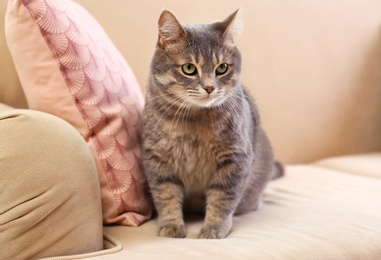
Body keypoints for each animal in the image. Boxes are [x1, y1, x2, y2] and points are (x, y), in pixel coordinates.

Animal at [141, 9, 280, 239]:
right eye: (189, 68)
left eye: (222, 68)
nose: (209, 88)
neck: (194, 121)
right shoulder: (157, 160)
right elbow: (166, 196)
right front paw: (171, 226)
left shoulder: (235, 160)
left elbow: (222, 200)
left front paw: (213, 229)